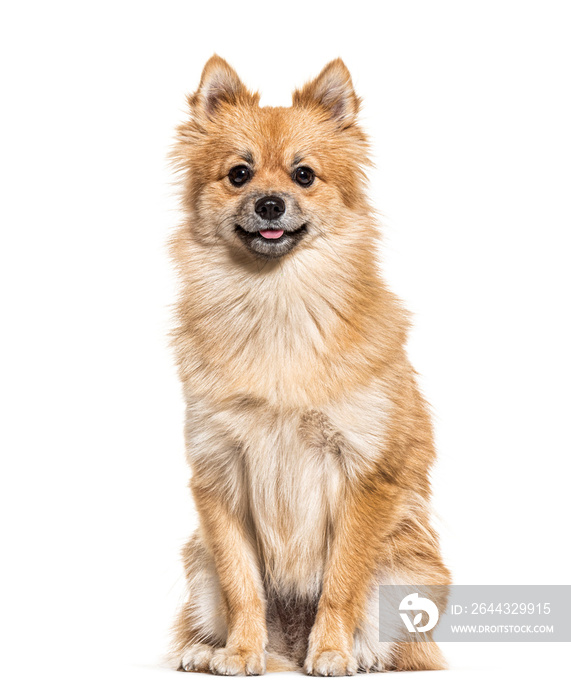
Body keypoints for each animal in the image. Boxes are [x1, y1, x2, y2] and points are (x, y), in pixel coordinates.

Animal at [170, 57, 452, 676]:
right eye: (239, 174)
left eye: (304, 176)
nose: (270, 203)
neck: (275, 300)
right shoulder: (221, 475)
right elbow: (242, 582)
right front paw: (241, 652)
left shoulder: (363, 473)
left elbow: (342, 579)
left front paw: (332, 651)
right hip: (197, 562)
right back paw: (209, 650)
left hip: (408, 568)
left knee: (401, 642)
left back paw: (358, 654)